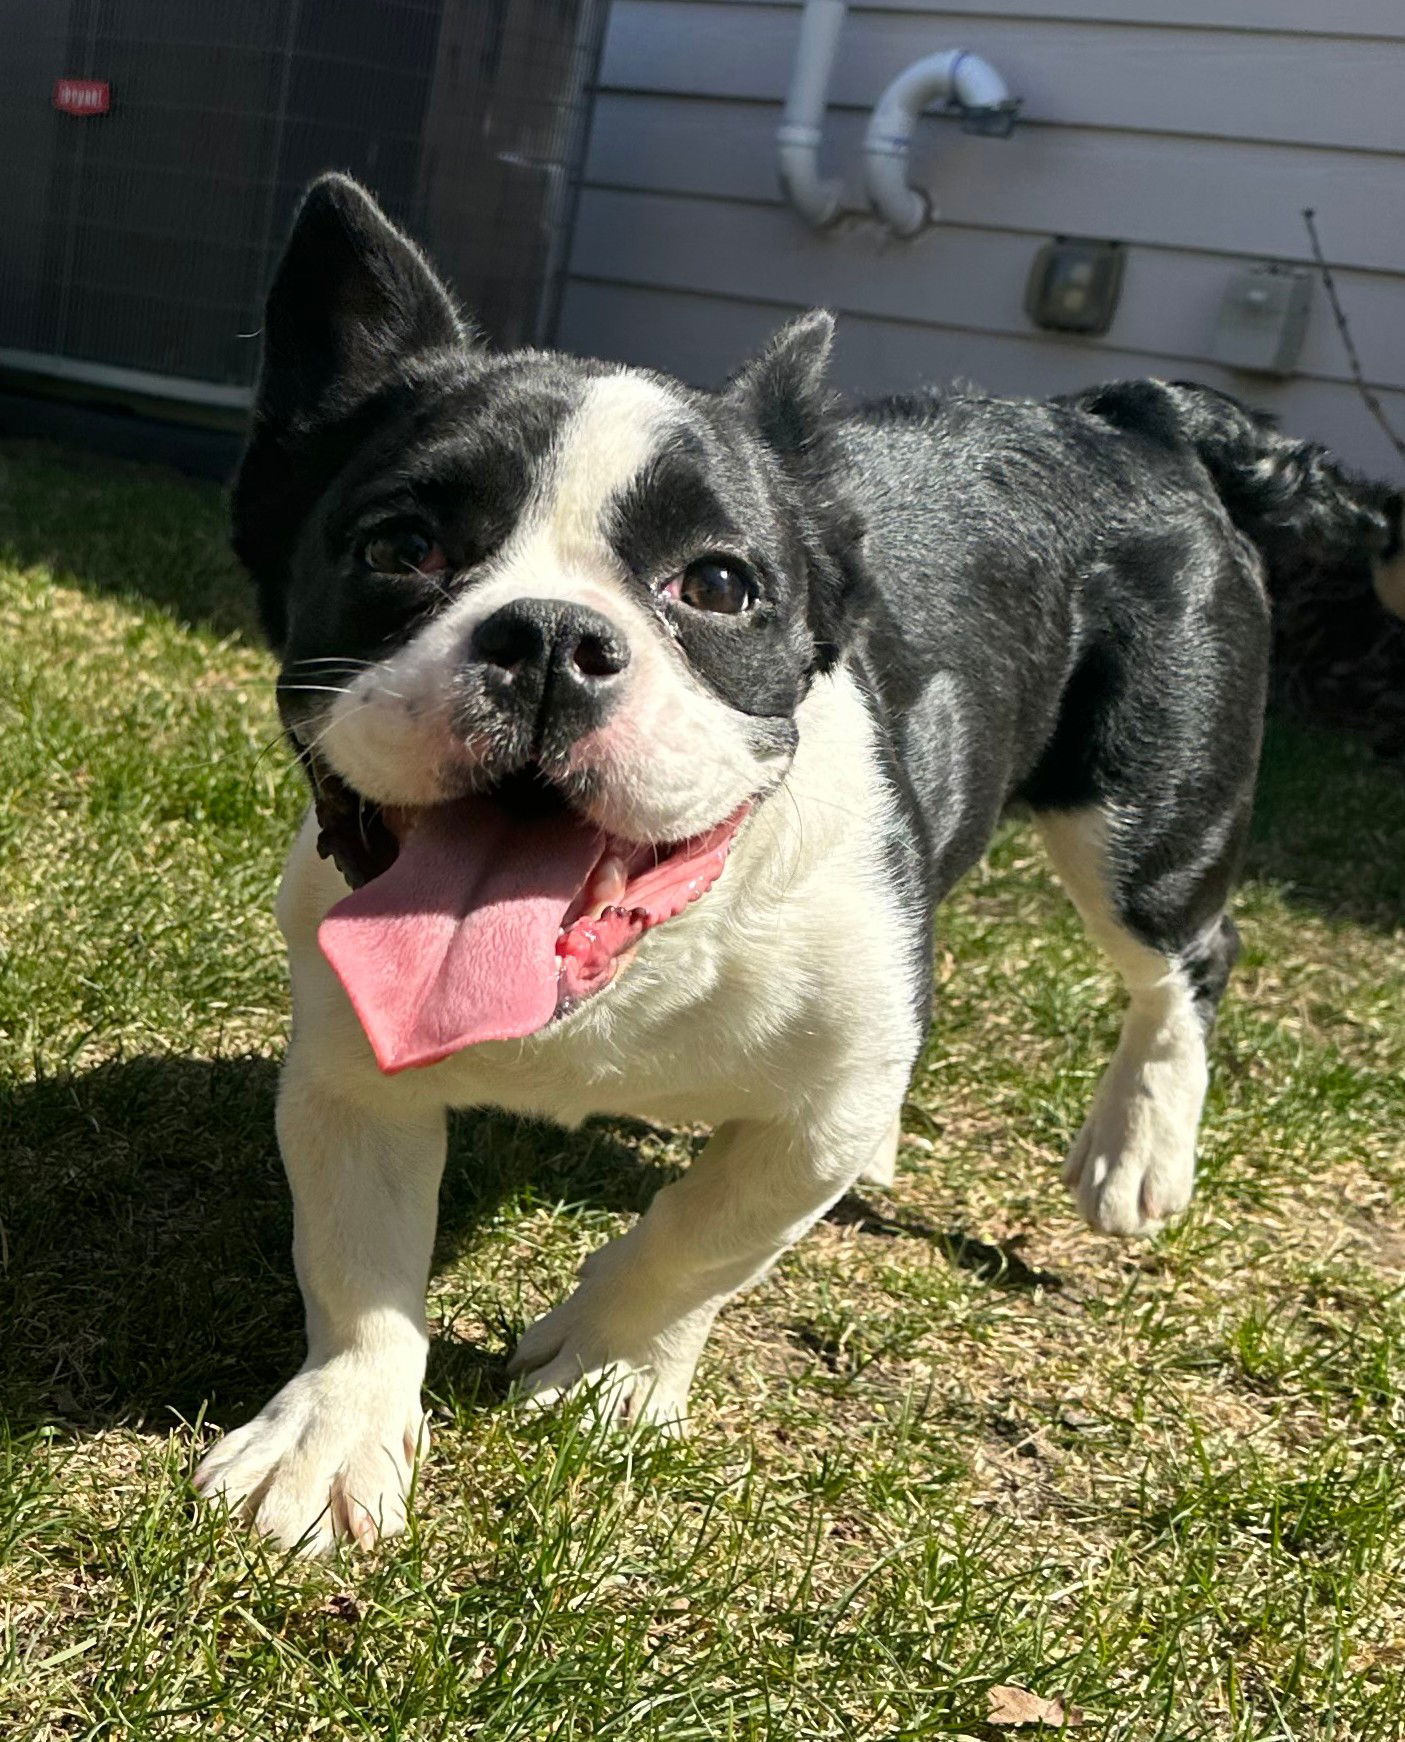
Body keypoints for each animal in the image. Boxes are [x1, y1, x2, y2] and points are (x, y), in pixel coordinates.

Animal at [192, 176, 1399, 1553]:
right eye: (399, 548)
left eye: (718, 585)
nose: (550, 635)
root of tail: (1126, 417)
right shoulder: (352, 1073)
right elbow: (360, 1253)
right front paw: (332, 1435)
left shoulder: (806, 1118)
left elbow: (701, 1233)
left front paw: (610, 1367)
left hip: (1141, 811)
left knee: (1183, 955)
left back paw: (1138, 1145)